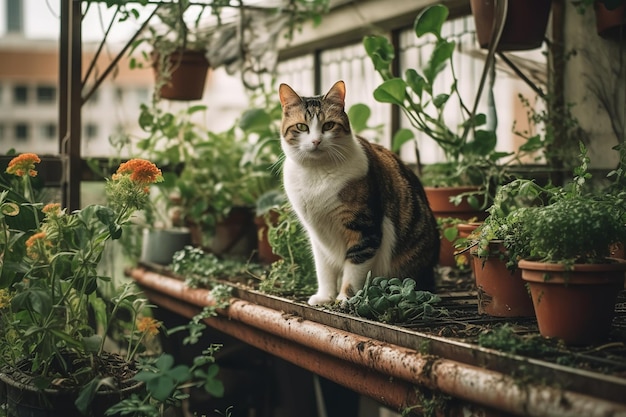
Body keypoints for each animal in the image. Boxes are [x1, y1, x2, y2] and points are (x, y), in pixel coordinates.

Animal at [278, 79, 438, 304]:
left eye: (328, 125)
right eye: (301, 126)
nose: (316, 141)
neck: (317, 173)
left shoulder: (365, 228)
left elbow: (354, 269)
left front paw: (345, 298)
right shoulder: (318, 235)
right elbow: (323, 269)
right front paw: (325, 297)